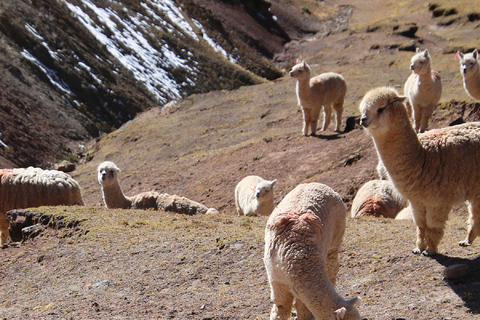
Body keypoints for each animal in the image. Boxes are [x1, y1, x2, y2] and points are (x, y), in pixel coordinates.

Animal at [262, 182, 360, 320]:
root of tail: (319, 184)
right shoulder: (276, 278)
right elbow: (281, 307)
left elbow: (303, 308)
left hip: (336, 237)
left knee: (332, 267)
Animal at [358, 86, 480, 256]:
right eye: (363, 109)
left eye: (380, 108)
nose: (363, 120)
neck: (422, 157)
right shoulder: (416, 200)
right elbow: (421, 225)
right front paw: (419, 248)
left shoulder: (439, 200)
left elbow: (433, 226)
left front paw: (430, 249)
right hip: (475, 187)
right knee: (475, 213)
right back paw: (467, 240)